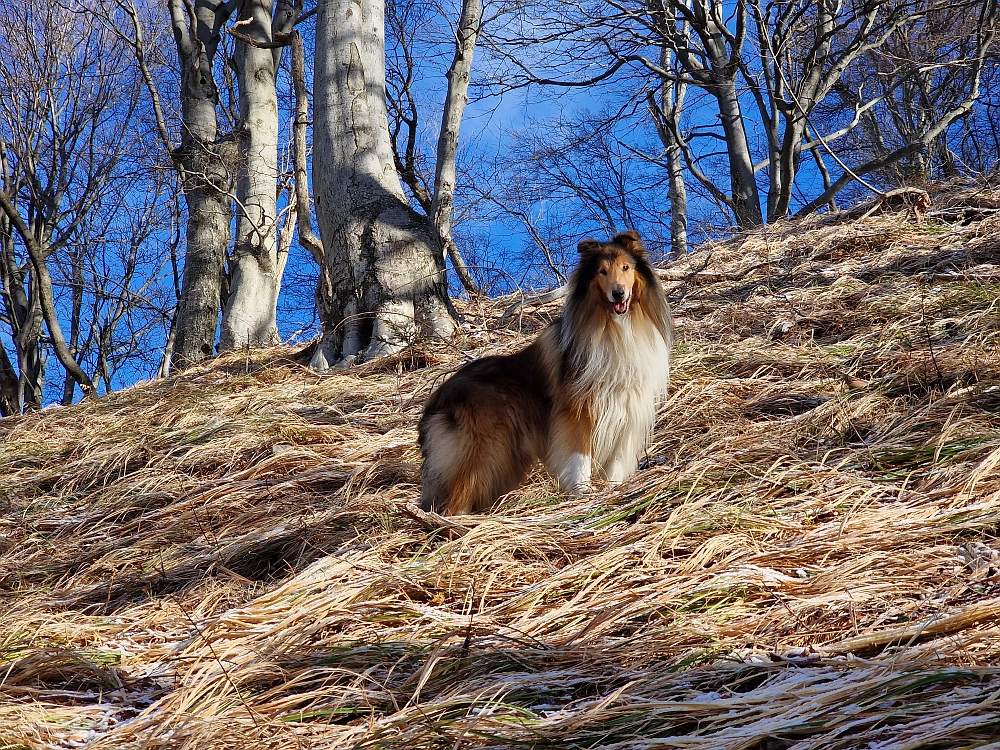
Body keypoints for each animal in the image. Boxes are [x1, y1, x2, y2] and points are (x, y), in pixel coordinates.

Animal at [416, 231, 672, 516]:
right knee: (452, 503)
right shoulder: (577, 412)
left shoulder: (628, 410)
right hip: (481, 451)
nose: (618, 294)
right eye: (602, 272)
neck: (617, 327)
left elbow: (615, 462)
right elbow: (579, 456)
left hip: (501, 461)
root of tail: (436, 396)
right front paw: (581, 493)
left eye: (626, 268)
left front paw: (612, 489)